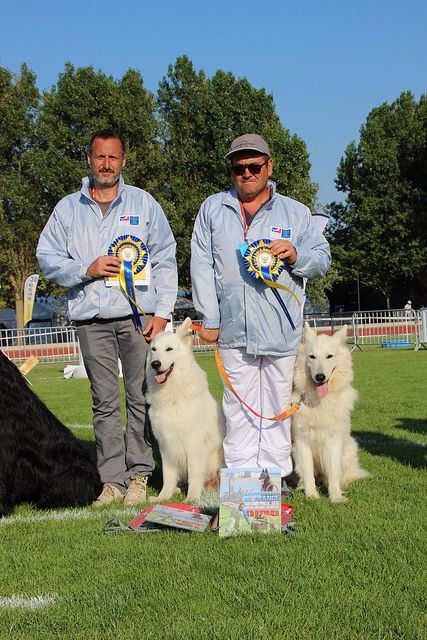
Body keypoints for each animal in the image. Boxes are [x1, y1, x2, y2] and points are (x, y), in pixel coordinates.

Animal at [146, 318, 226, 502]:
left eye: (169, 349)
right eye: (154, 350)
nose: (155, 364)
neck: (173, 395)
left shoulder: (193, 443)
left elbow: (194, 473)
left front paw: (191, 499)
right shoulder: (166, 444)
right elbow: (168, 476)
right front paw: (163, 498)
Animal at [292, 322, 370, 502]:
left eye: (329, 356)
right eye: (312, 357)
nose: (320, 377)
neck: (319, 401)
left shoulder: (333, 440)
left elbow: (333, 472)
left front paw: (335, 497)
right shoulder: (302, 441)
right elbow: (307, 472)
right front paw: (312, 495)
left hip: (349, 448)